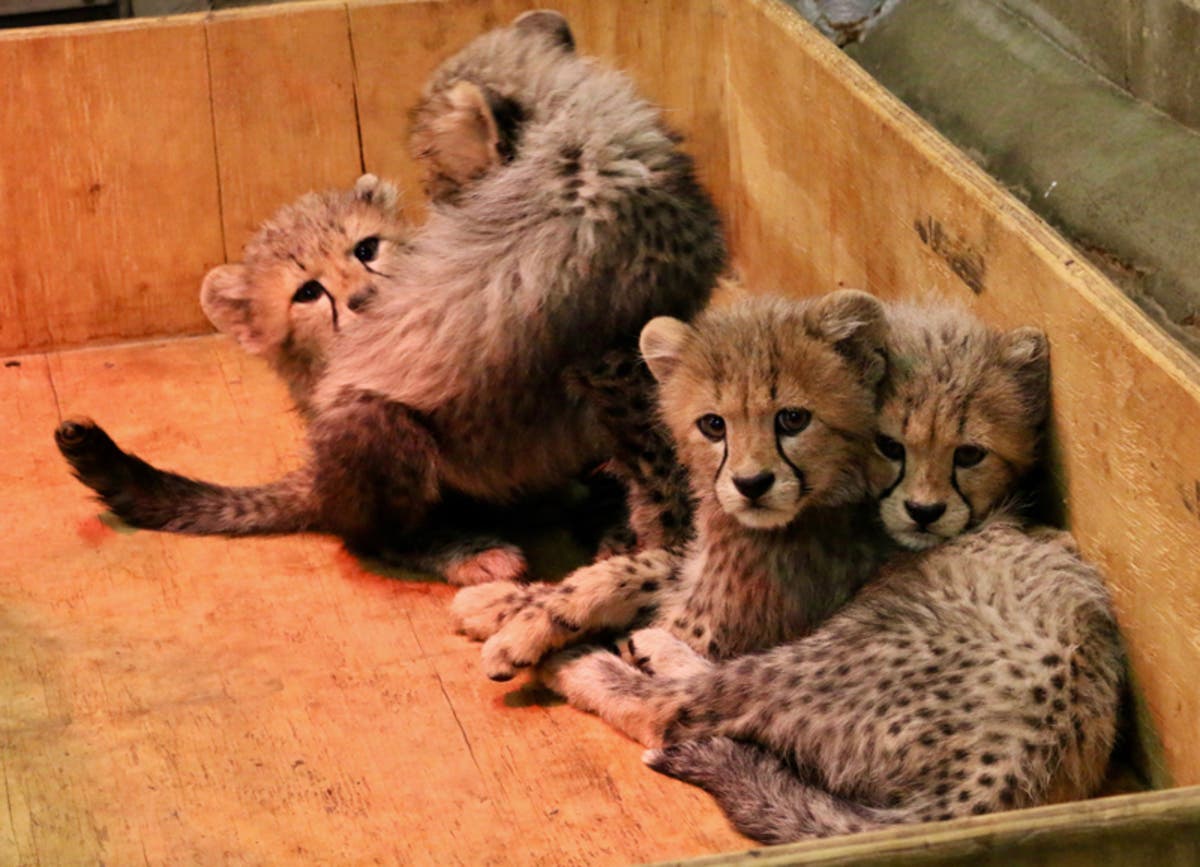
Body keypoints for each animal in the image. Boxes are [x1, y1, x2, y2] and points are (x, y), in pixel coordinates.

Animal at [54, 9, 726, 583]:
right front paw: (668, 548)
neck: (589, 140)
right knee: (370, 536)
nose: (438, 210)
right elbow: (661, 466)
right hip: (376, 429)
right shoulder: (611, 363)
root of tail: (317, 478)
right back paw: (463, 549)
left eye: (435, 167)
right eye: (308, 292)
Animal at [450, 289, 897, 680]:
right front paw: (506, 608)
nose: (751, 484)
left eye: (793, 419)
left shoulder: (709, 633)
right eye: (713, 425)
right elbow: (629, 569)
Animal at [534, 304, 1124, 843]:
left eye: (969, 455)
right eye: (890, 446)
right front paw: (566, 599)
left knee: (678, 706)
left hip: (835, 653)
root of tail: (1000, 780)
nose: (925, 512)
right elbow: (657, 566)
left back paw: (590, 662)